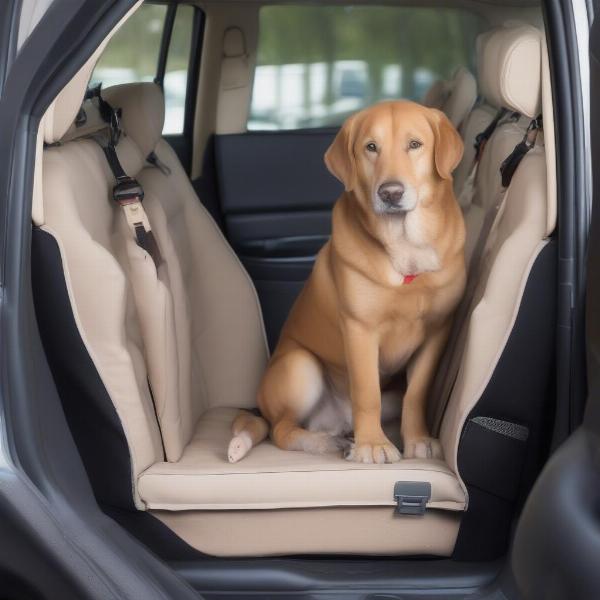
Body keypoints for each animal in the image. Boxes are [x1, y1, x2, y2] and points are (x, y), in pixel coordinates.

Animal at [227, 101, 466, 464]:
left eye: (415, 145)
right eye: (371, 147)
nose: (391, 192)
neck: (404, 247)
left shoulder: (438, 330)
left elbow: (416, 393)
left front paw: (418, 439)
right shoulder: (360, 329)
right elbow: (367, 393)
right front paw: (373, 445)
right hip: (301, 366)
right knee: (281, 430)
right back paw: (325, 442)